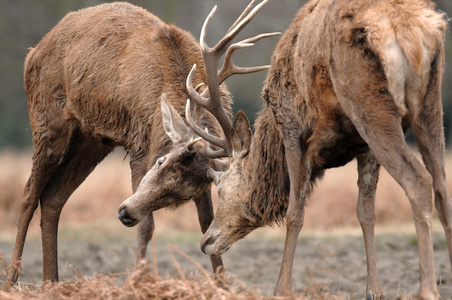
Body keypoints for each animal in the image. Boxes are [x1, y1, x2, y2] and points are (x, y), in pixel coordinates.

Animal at [3, 0, 278, 290]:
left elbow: (206, 223)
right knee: (28, 196)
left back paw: (52, 282)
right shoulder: (140, 147)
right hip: (46, 120)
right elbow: (147, 226)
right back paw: (11, 280)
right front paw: (136, 282)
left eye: (184, 195)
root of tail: (35, 50)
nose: (125, 213)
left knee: (53, 197)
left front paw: (222, 286)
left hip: (92, 139)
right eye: (160, 161)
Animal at [179, 0, 448, 298]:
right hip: (430, 104)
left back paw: (428, 290)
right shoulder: (364, 147)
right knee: (442, 188)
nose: (206, 241)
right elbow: (365, 211)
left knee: (419, 181)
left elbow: (295, 212)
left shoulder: (293, 128)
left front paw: (281, 289)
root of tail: (410, 26)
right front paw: (374, 289)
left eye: (222, 186)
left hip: (370, 103)